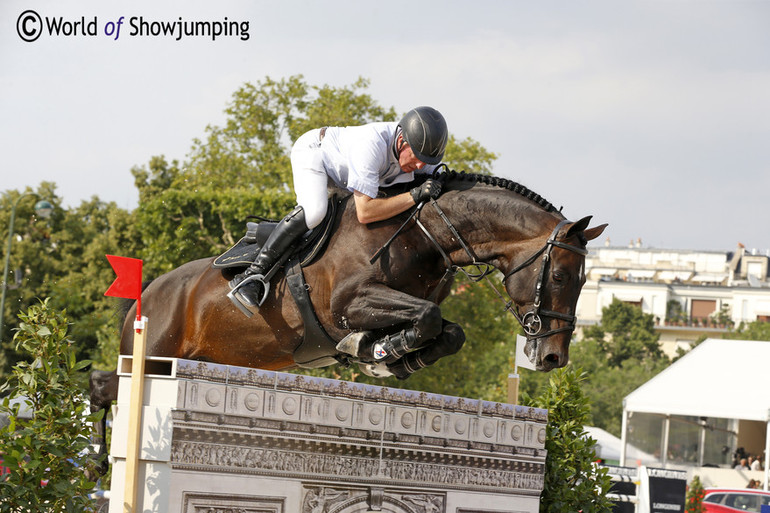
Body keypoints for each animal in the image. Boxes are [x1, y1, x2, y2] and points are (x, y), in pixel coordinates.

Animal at [88, 170, 608, 470]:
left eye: (586, 280)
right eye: (560, 275)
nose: (554, 356)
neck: (423, 231)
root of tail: (149, 290)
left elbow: (448, 330)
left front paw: (390, 356)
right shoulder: (349, 302)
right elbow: (430, 317)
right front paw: (374, 350)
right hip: (153, 356)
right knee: (105, 384)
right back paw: (97, 462)